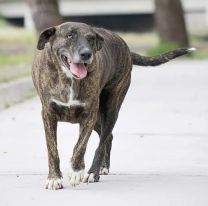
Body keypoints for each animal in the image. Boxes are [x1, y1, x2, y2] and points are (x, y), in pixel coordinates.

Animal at [31, 21, 194, 189]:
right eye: (70, 35)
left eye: (91, 39)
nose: (86, 54)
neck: (68, 78)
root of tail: (126, 47)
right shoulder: (48, 116)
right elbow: (52, 150)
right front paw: (54, 178)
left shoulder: (88, 116)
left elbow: (80, 146)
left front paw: (76, 171)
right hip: (98, 119)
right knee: (107, 136)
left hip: (110, 109)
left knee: (103, 140)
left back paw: (94, 172)